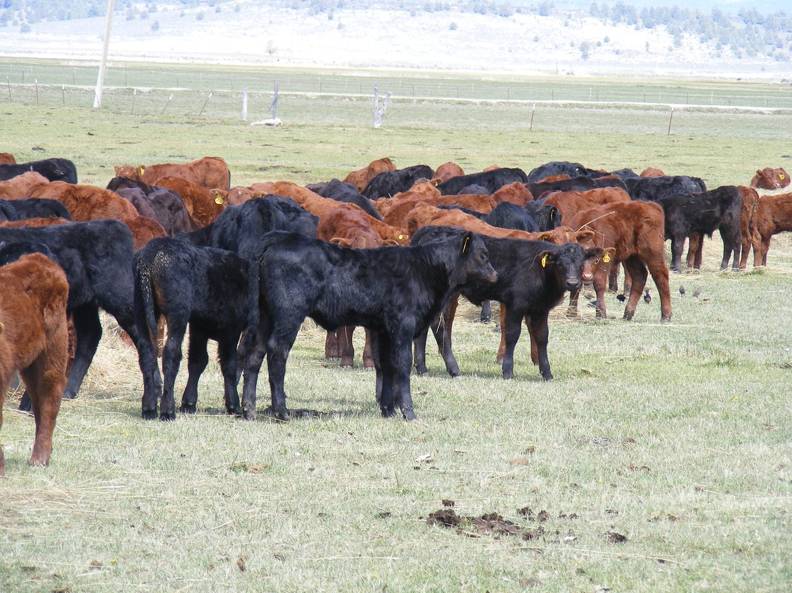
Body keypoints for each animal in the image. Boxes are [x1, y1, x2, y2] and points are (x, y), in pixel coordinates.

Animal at [135, 238, 260, 418]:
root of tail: (153, 250)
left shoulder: (199, 327)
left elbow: (197, 361)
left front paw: (188, 403)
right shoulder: (231, 329)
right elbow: (229, 364)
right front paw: (233, 405)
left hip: (139, 309)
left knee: (146, 352)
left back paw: (149, 409)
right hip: (178, 313)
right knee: (171, 352)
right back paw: (167, 411)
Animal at [240, 229, 496, 418]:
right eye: (483, 254)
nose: (495, 274)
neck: (424, 268)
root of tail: (280, 238)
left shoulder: (383, 329)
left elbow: (386, 365)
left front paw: (388, 410)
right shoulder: (403, 325)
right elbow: (402, 365)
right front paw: (408, 412)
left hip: (265, 317)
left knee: (255, 354)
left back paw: (249, 410)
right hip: (288, 314)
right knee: (277, 352)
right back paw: (282, 411)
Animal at [412, 227, 604, 380]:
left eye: (581, 263)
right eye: (560, 264)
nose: (573, 283)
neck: (541, 271)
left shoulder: (541, 309)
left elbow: (542, 337)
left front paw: (547, 373)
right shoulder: (515, 305)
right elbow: (512, 334)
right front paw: (508, 371)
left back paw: (422, 368)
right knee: (439, 326)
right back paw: (453, 369)